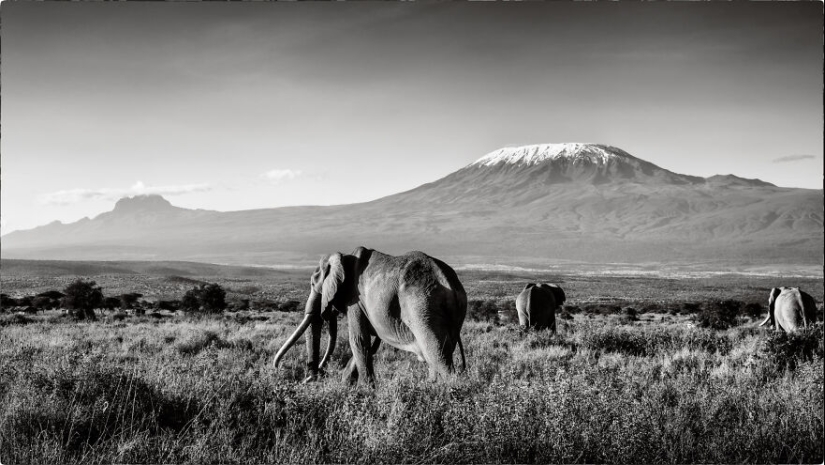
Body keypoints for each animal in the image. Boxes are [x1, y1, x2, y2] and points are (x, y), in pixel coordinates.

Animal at [270, 246, 464, 384]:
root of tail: (446, 279)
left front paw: (364, 390)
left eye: (312, 284)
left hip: (421, 305)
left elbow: (358, 339)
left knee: (437, 353)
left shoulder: (354, 299)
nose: (313, 376)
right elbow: (371, 343)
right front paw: (347, 384)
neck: (344, 257)